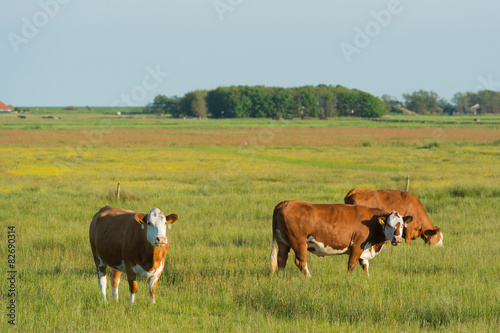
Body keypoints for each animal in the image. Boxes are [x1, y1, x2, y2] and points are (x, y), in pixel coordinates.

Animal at [270, 201, 414, 276]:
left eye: (402, 225)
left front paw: (367, 279)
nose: (397, 239)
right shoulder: (357, 246)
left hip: (283, 242)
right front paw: (348, 279)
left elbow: (365, 266)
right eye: (389, 224)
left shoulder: (364, 249)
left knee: (281, 259)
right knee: (300, 262)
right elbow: (352, 265)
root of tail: (288, 203)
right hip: (299, 243)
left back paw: (280, 277)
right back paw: (310, 278)